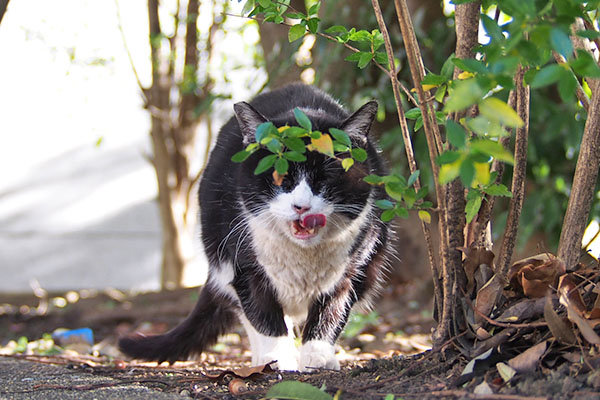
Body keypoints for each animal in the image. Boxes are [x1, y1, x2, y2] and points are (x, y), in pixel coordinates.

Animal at [120, 83, 394, 372]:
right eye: (279, 175)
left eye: (327, 178)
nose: (301, 206)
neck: (301, 256)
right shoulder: (244, 267)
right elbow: (263, 316)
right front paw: (278, 358)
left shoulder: (352, 269)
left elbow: (332, 311)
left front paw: (317, 357)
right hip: (219, 254)